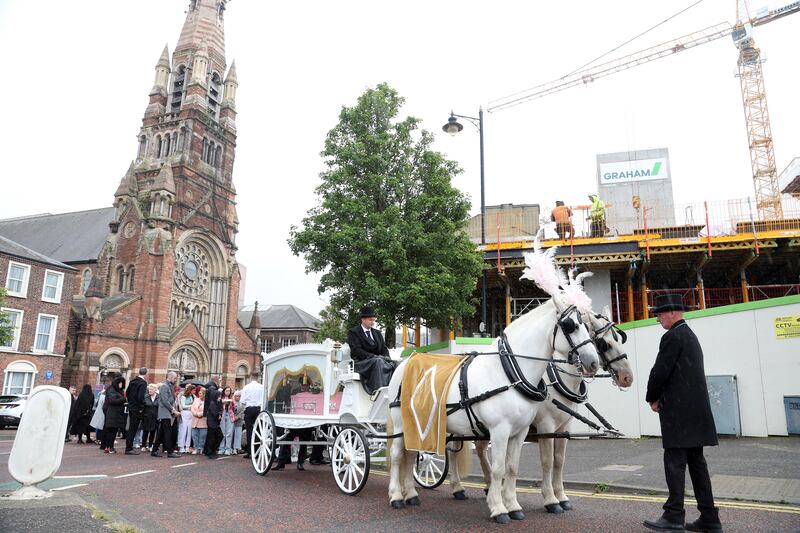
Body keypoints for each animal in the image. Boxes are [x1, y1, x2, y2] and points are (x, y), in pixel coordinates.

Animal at [388, 288, 600, 520]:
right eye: (571, 325)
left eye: (587, 326)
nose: (593, 362)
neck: (509, 371)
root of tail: (406, 362)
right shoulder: (505, 430)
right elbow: (502, 468)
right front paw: (499, 508)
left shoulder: (523, 431)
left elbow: (514, 467)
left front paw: (513, 505)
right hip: (401, 424)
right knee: (398, 455)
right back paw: (396, 496)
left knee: (415, 454)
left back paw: (414, 494)